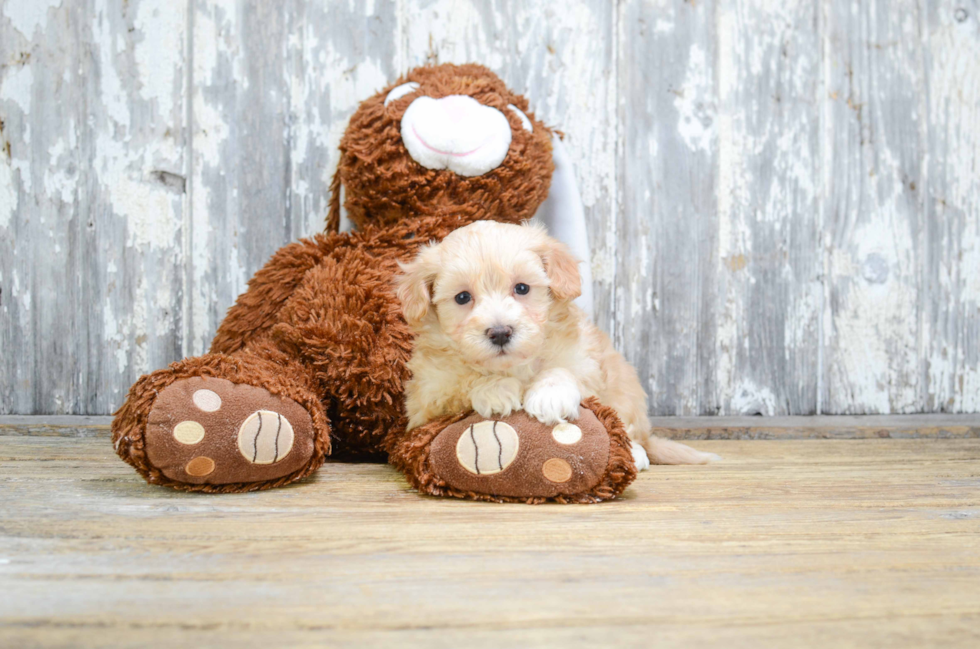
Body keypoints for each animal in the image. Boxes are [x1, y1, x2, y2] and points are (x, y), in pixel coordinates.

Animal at [392, 219, 720, 466]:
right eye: (462, 297)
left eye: (522, 288)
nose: (500, 332)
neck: (515, 365)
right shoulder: (425, 399)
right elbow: (463, 380)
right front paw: (495, 388)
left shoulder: (583, 359)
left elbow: (563, 369)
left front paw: (550, 395)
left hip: (625, 390)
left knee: (631, 430)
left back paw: (636, 454)